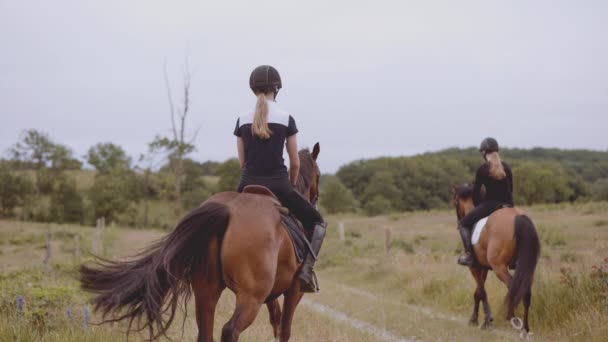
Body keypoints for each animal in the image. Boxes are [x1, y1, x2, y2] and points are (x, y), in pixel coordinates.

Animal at [82, 143, 324, 340]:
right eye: (319, 175)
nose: (315, 199)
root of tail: (227, 209)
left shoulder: (271, 293)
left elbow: (276, 319)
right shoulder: (294, 290)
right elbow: (284, 329)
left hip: (207, 289)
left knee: (205, 332)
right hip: (249, 297)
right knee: (230, 330)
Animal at [452, 183, 540, 336]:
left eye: (456, 201)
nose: (458, 222)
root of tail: (517, 216)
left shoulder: (474, 267)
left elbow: (481, 292)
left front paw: (485, 321)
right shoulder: (483, 268)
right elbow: (477, 293)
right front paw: (475, 320)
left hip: (499, 267)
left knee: (512, 288)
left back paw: (513, 319)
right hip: (527, 268)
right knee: (525, 290)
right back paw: (525, 328)